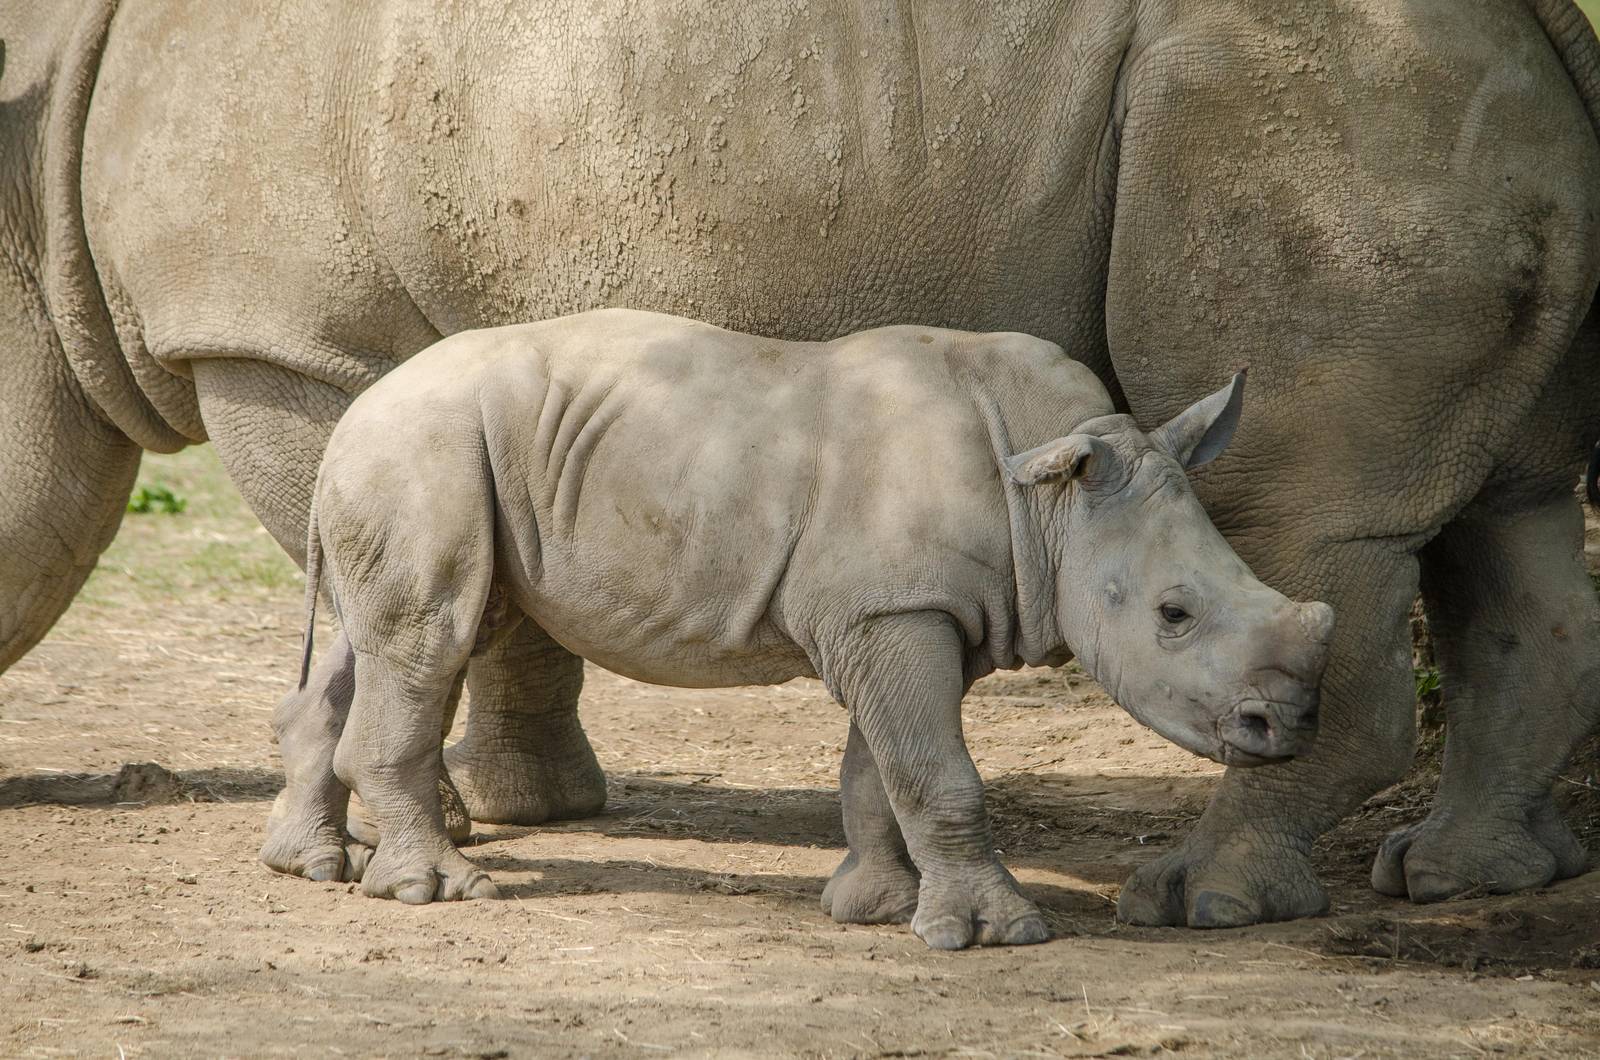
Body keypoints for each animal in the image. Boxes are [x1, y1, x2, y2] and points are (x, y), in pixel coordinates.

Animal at [280, 309, 1333, 948]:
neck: (1053, 499)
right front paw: (994, 933)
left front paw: (875, 908)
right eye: (1174, 615)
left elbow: (880, 765)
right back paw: (435, 892)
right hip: (424, 447)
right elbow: (936, 770)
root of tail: (350, 416)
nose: (1287, 727)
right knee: (432, 636)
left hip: (437, 455)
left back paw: (313, 865)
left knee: (394, 639)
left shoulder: (900, 608)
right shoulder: (897, 610)